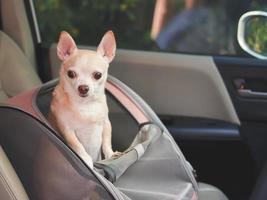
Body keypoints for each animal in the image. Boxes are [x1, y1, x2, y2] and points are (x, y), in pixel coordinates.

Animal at [49, 30, 118, 168]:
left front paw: (110, 154)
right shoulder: (67, 130)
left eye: (98, 75)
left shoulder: (106, 123)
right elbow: (78, 147)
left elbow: (106, 142)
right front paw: (86, 161)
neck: (85, 104)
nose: (83, 88)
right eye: (71, 74)